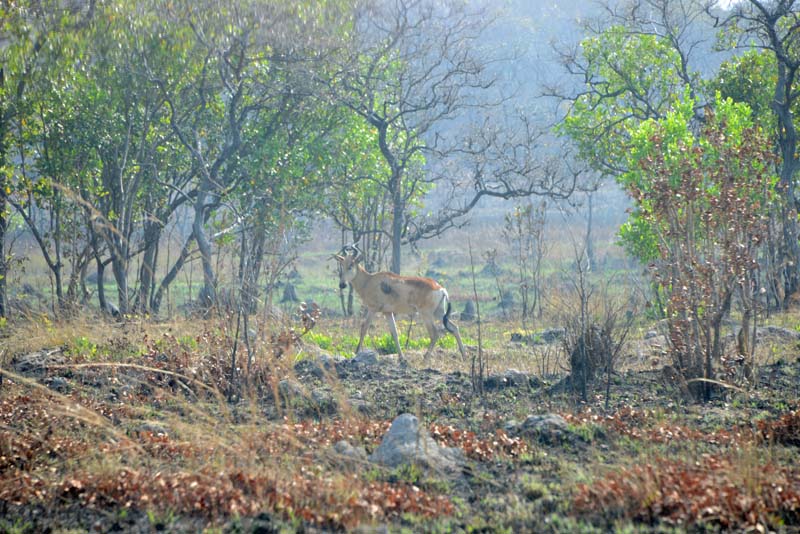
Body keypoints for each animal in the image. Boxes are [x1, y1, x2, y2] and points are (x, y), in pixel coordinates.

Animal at [332, 247, 468, 364]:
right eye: (341, 266)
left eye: (351, 265)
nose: (342, 284)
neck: (370, 280)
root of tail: (441, 288)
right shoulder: (388, 312)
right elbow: (395, 333)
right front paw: (402, 358)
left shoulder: (372, 309)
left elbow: (364, 328)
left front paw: (356, 353)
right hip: (439, 313)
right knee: (454, 327)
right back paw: (464, 356)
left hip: (427, 314)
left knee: (435, 333)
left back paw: (425, 359)